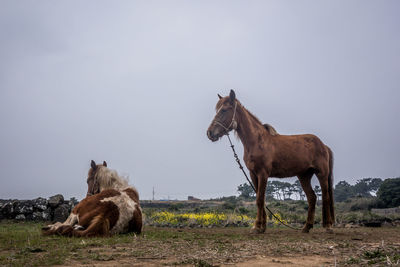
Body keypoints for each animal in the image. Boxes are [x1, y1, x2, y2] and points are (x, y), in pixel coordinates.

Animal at [206, 90, 334, 234]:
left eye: (224, 110)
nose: (210, 133)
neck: (257, 141)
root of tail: (323, 145)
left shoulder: (263, 174)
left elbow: (260, 199)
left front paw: (257, 226)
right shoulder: (253, 174)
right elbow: (260, 198)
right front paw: (262, 226)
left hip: (321, 174)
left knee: (326, 197)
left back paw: (328, 226)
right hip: (304, 175)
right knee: (312, 198)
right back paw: (306, 227)